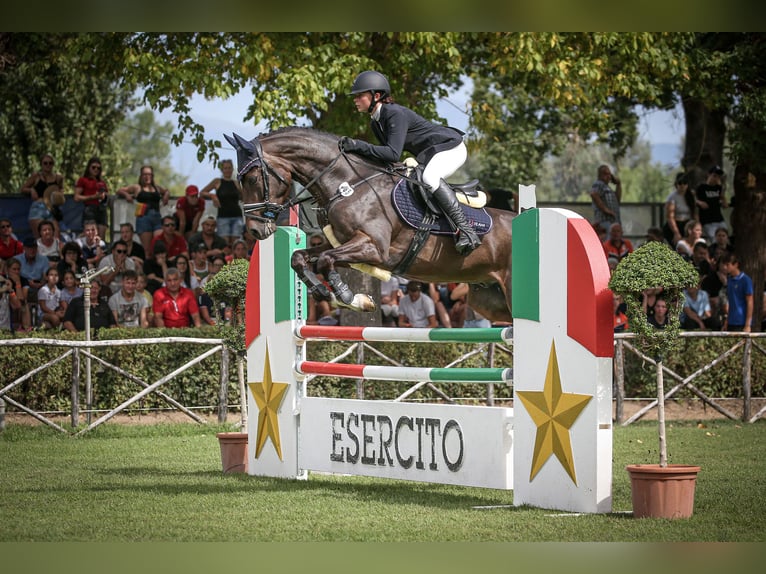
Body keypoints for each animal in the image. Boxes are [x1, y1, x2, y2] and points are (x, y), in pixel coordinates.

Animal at [225, 127, 520, 324]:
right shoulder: (346, 245)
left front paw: (346, 296)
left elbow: (326, 261)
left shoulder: (374, 248)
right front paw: (330, 294)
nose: (255, 230)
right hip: (489, 299)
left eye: (252, 178)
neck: (348, 184)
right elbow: (300, 258)